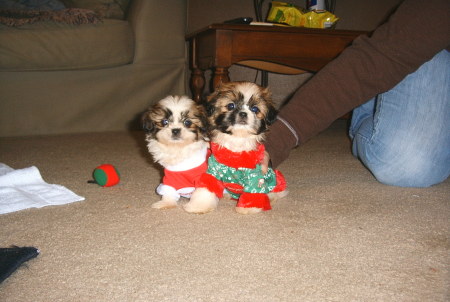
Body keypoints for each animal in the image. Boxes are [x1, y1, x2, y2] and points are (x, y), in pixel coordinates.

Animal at [184, 82, 286, 215]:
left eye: (255, 109)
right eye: (230, 105)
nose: (243, 113)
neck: (237, 140)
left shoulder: (255, 175)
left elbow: (253, 190)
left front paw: (248, 208)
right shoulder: (214, 171)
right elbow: (206, 187)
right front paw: (199, 206)